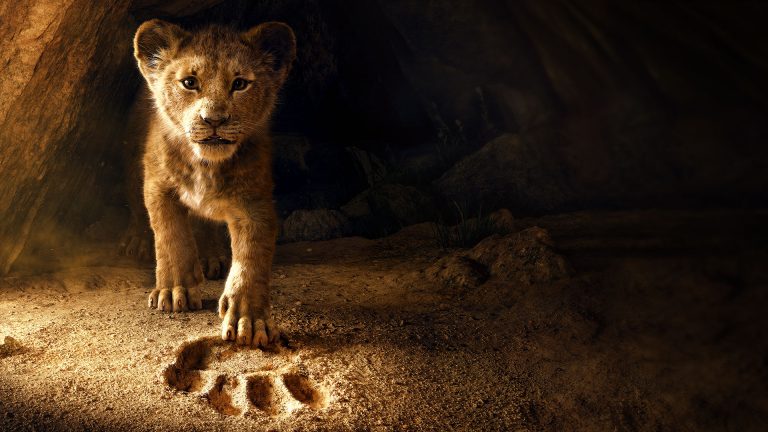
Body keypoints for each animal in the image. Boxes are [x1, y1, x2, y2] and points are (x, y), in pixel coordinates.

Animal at [132, 19, 296, 347]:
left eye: (240, 84)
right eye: (189, 82)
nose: (214, 120)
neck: (205, 165)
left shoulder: (254, 203)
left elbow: (251, 258)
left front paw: (249, 319)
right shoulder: (157, 185)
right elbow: (171, 236)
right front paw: (175, 290)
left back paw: (211, 258)